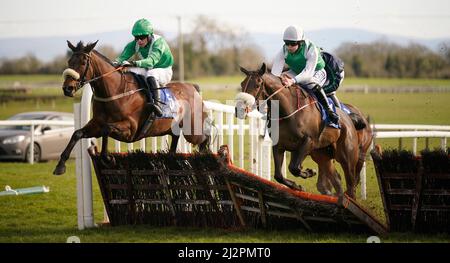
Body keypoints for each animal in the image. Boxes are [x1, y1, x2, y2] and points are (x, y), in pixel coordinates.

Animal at [52, 41, 209, 177]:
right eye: (69, 62)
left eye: (83, 62)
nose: (67, 88)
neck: (115, 92)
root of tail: (192, 87)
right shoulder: (96, 124)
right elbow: (77, 134)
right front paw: (60, 165)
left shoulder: (130, 129)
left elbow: (106, 129)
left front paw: (108, 158)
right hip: (173, 128)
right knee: (176, 139)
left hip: (192, 131)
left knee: (205, 137)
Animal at [236, 64, 362, 199]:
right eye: (242, 84)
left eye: (257, 84)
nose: (239, 109)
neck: (287, 111)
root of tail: (349, 118)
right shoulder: (279, 145)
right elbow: (279, 175)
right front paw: (298, 185)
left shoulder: (308, 142)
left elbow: (294, 168)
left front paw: (309, 172)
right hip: (322, 156)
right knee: (336, 178)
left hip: (347, 158)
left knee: (351, 184)